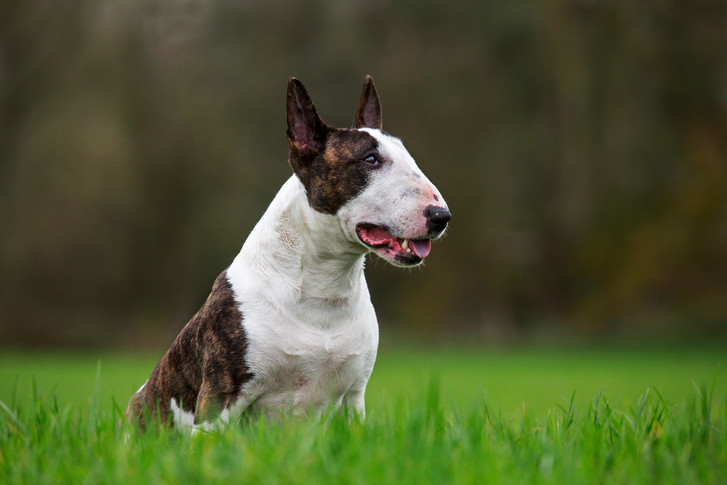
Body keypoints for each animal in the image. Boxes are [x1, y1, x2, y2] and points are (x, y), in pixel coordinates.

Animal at [128, 75, 452, 428]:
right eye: (370, 159)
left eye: (409, 157)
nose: (441, 216)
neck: (323, 288)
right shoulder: (219, 400)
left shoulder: (354, 397)